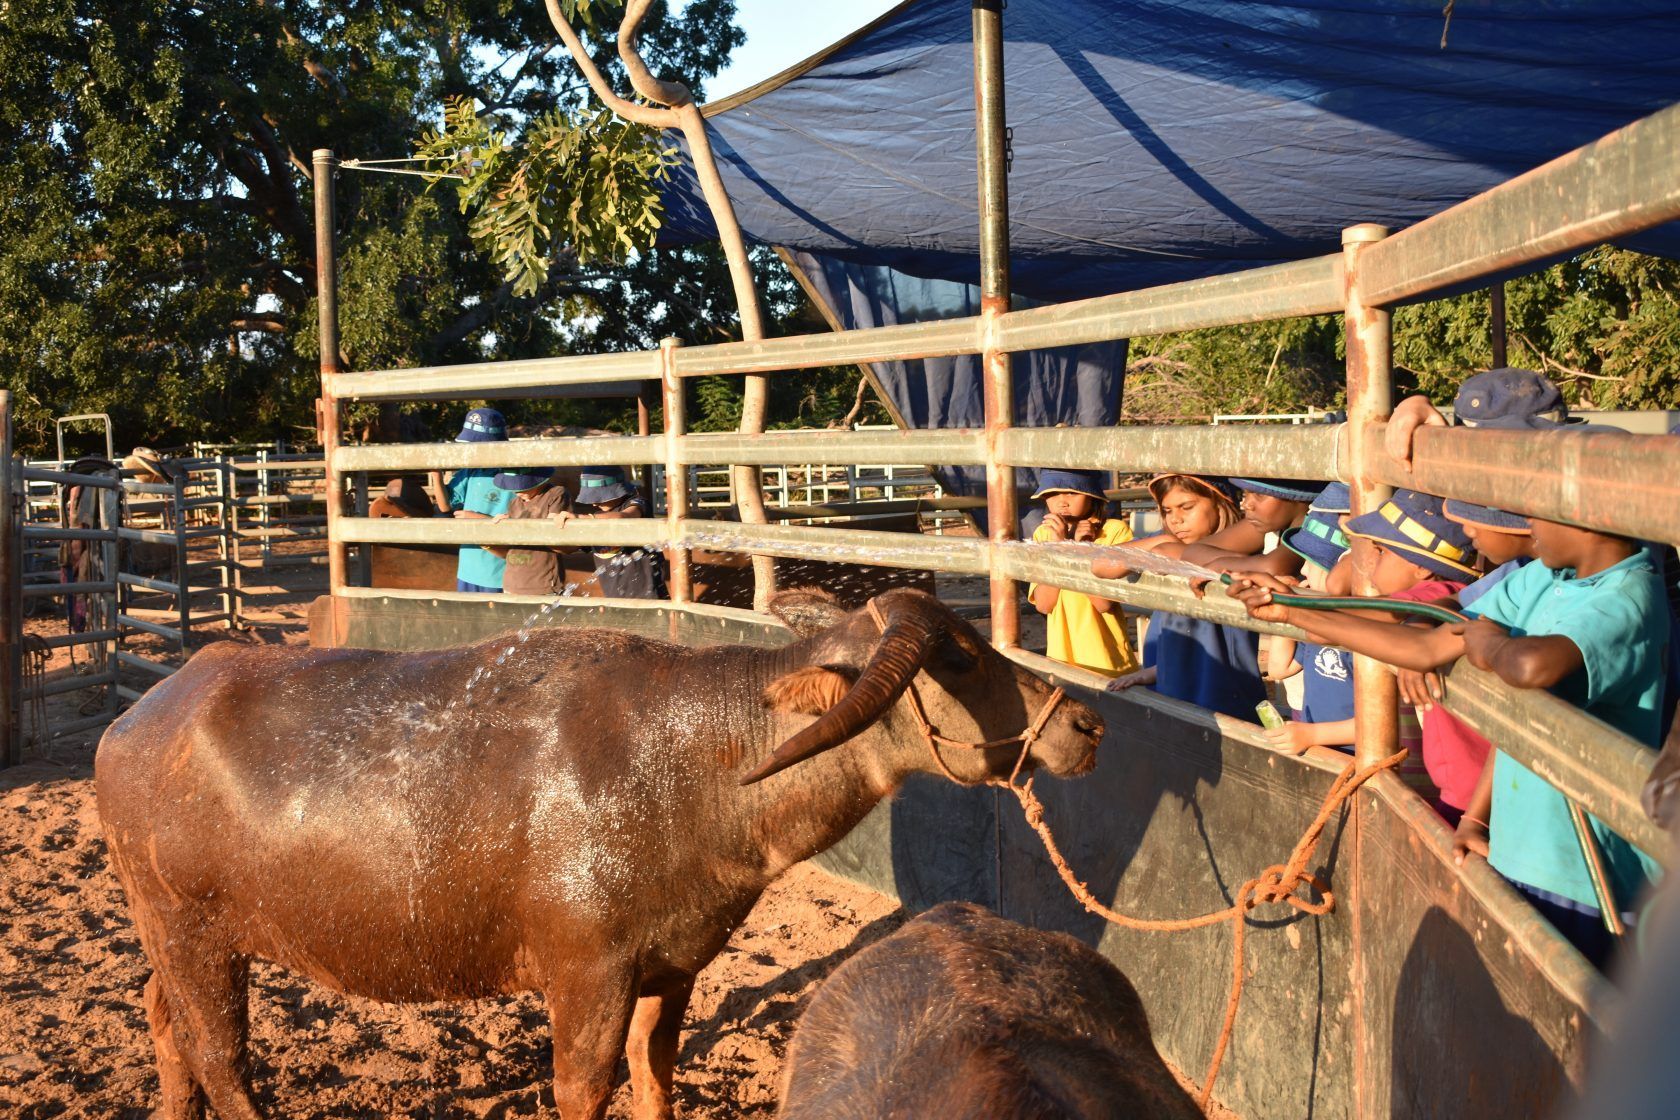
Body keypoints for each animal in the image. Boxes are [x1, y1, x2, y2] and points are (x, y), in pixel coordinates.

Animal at [96, 588, 1103, 1119]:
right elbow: (586, 1087)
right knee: (223, 1056)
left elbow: (656, 1075)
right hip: (196, 939)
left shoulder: (675, 966)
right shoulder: (588, 974)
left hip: (172, 942)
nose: (1087, 724)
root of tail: (137, 720)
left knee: (163, 1023)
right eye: (961, 656)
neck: (699, 762)